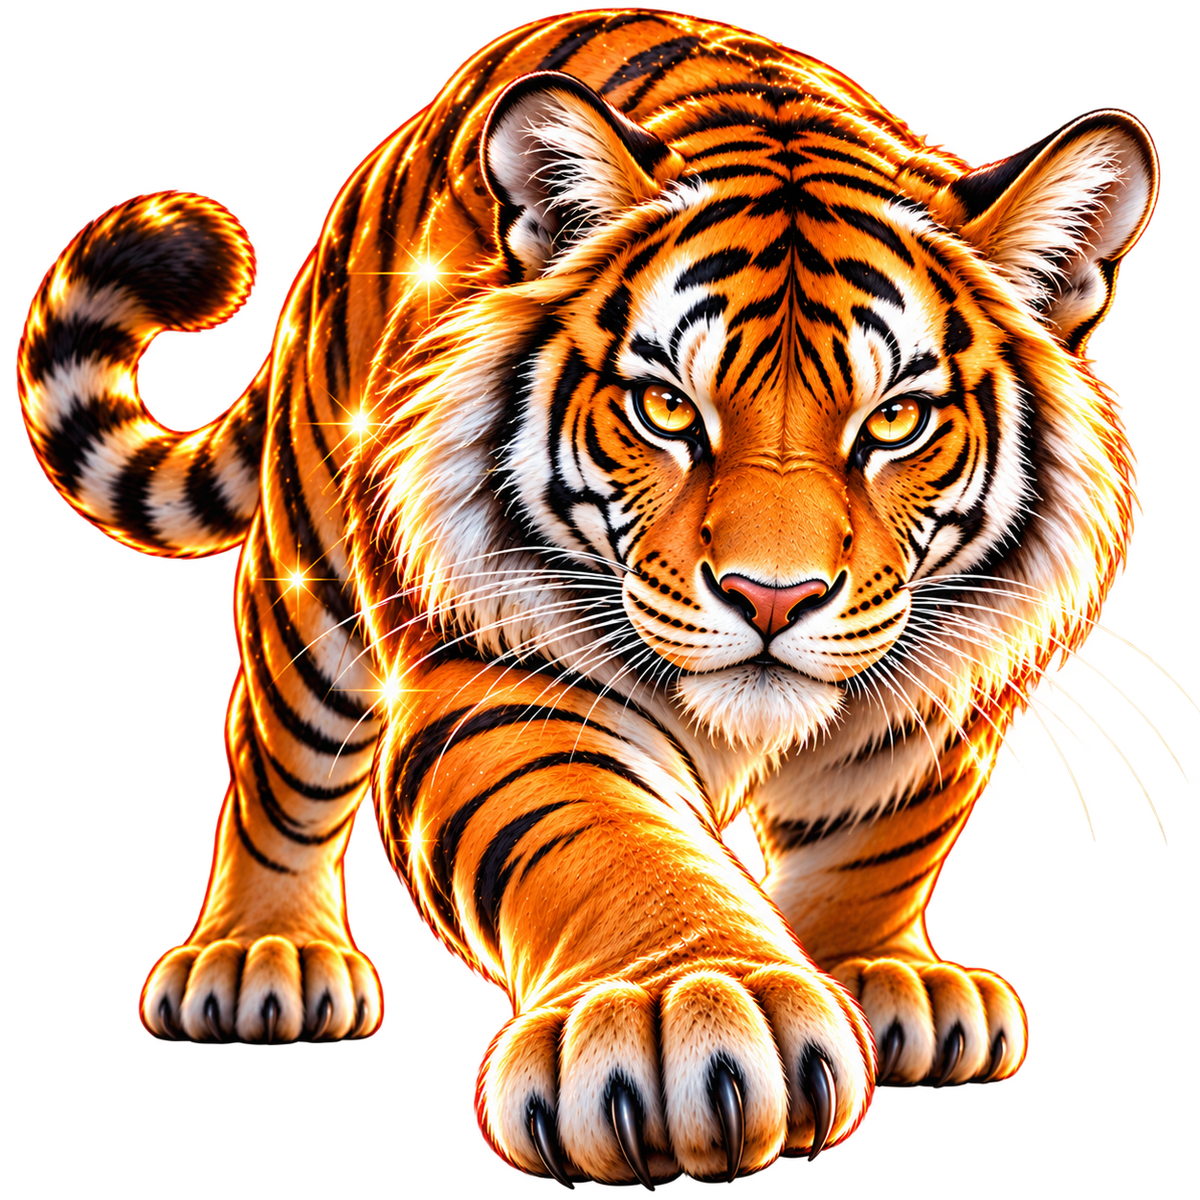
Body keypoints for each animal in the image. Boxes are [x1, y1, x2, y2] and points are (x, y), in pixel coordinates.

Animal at [11, 1, 1175, 1186]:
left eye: (896, 420)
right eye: (666, 409)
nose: (772, 598)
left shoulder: (941, 681)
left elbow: (876, 837)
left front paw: (884, 974)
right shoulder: (505, 676)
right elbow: (598, 839)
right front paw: (685, 1005)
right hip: (314, 570)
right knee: (281, 766)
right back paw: (261, 956)